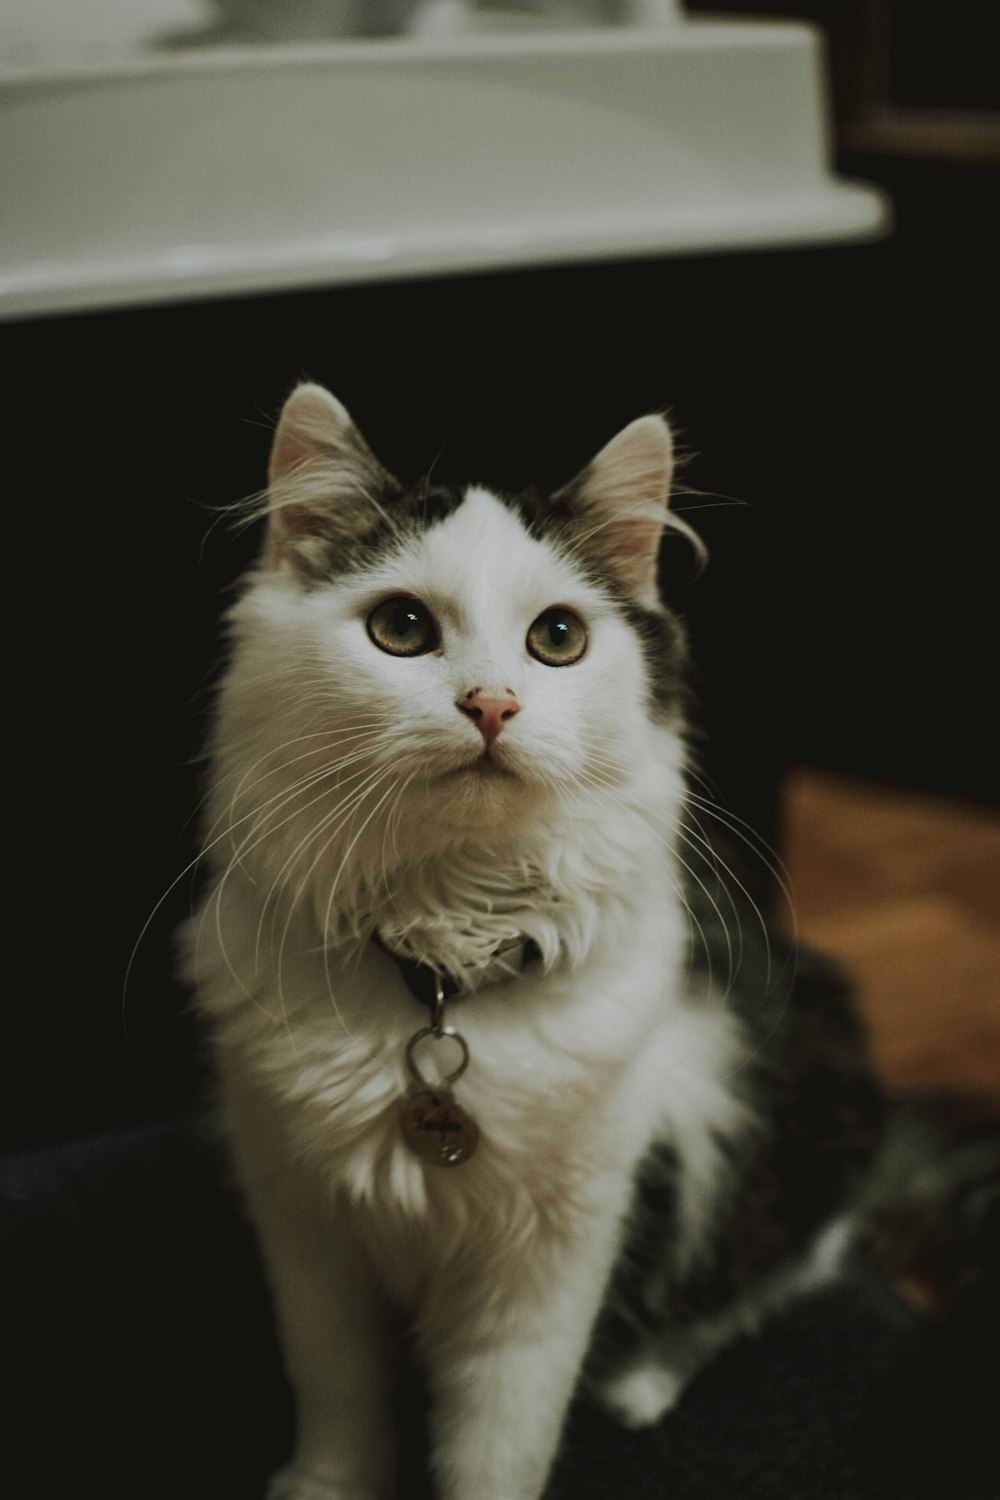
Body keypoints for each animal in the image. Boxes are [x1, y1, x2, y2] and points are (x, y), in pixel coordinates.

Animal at [182, 381, 899, 1494]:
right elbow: (340, 1396)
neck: (443, 969)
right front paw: (324, 1487)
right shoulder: (304, 1224)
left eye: (557, 638)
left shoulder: (552, 1259)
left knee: (760, 1279)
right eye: (401, 627)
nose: (492, 704)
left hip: (791, 1116)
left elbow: (498, 1438)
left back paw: (641, 1386)